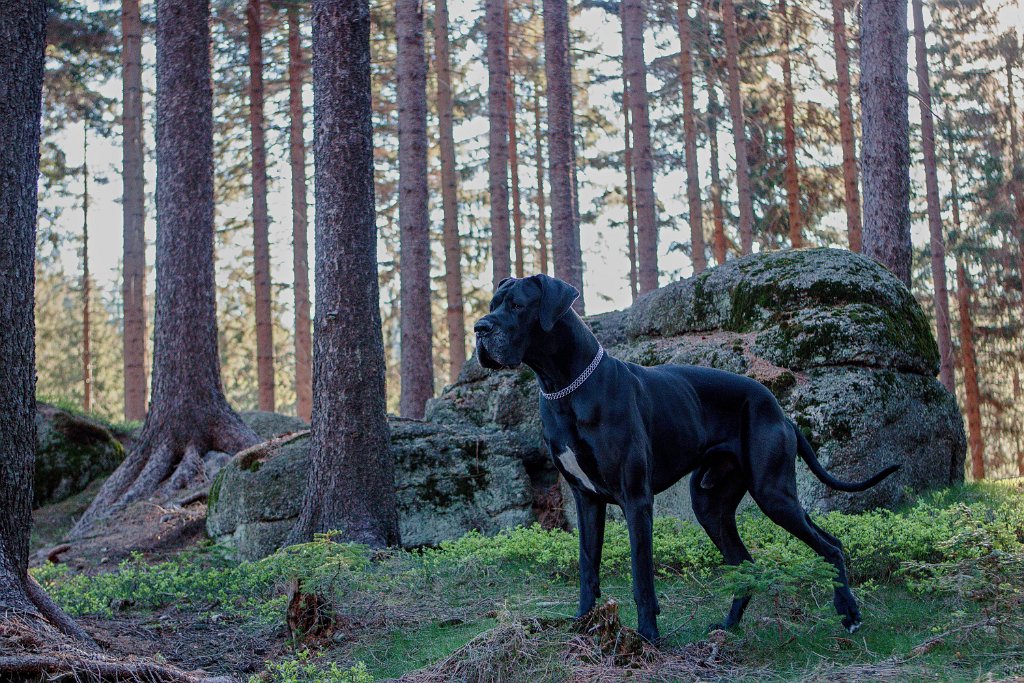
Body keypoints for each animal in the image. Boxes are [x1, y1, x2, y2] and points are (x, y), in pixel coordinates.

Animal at [471, 274, 897, 643]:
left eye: (517, 305)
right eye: (492, 305)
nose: (478, 328)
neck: (565, 388)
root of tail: (779, 408)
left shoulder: (636, 500)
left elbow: (642, 577)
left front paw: (647, 636)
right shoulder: (586, 501)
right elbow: (587, 569)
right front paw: (582, 626)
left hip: (773, 493)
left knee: (830, 545)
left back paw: (849, 613)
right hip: (711, 504)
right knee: (747, 561)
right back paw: (728, 625)